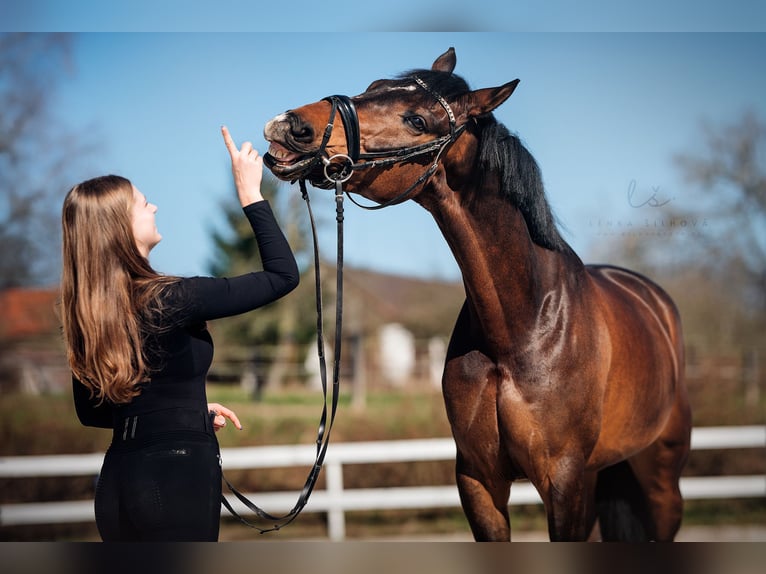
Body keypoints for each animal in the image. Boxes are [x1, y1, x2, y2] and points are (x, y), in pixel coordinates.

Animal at [262, 47, 692, 541]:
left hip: (658, 480)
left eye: (417, 120)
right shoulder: (478, 479)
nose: (292, 125)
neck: (522, 325)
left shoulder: (566, 483)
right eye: (372, 87)